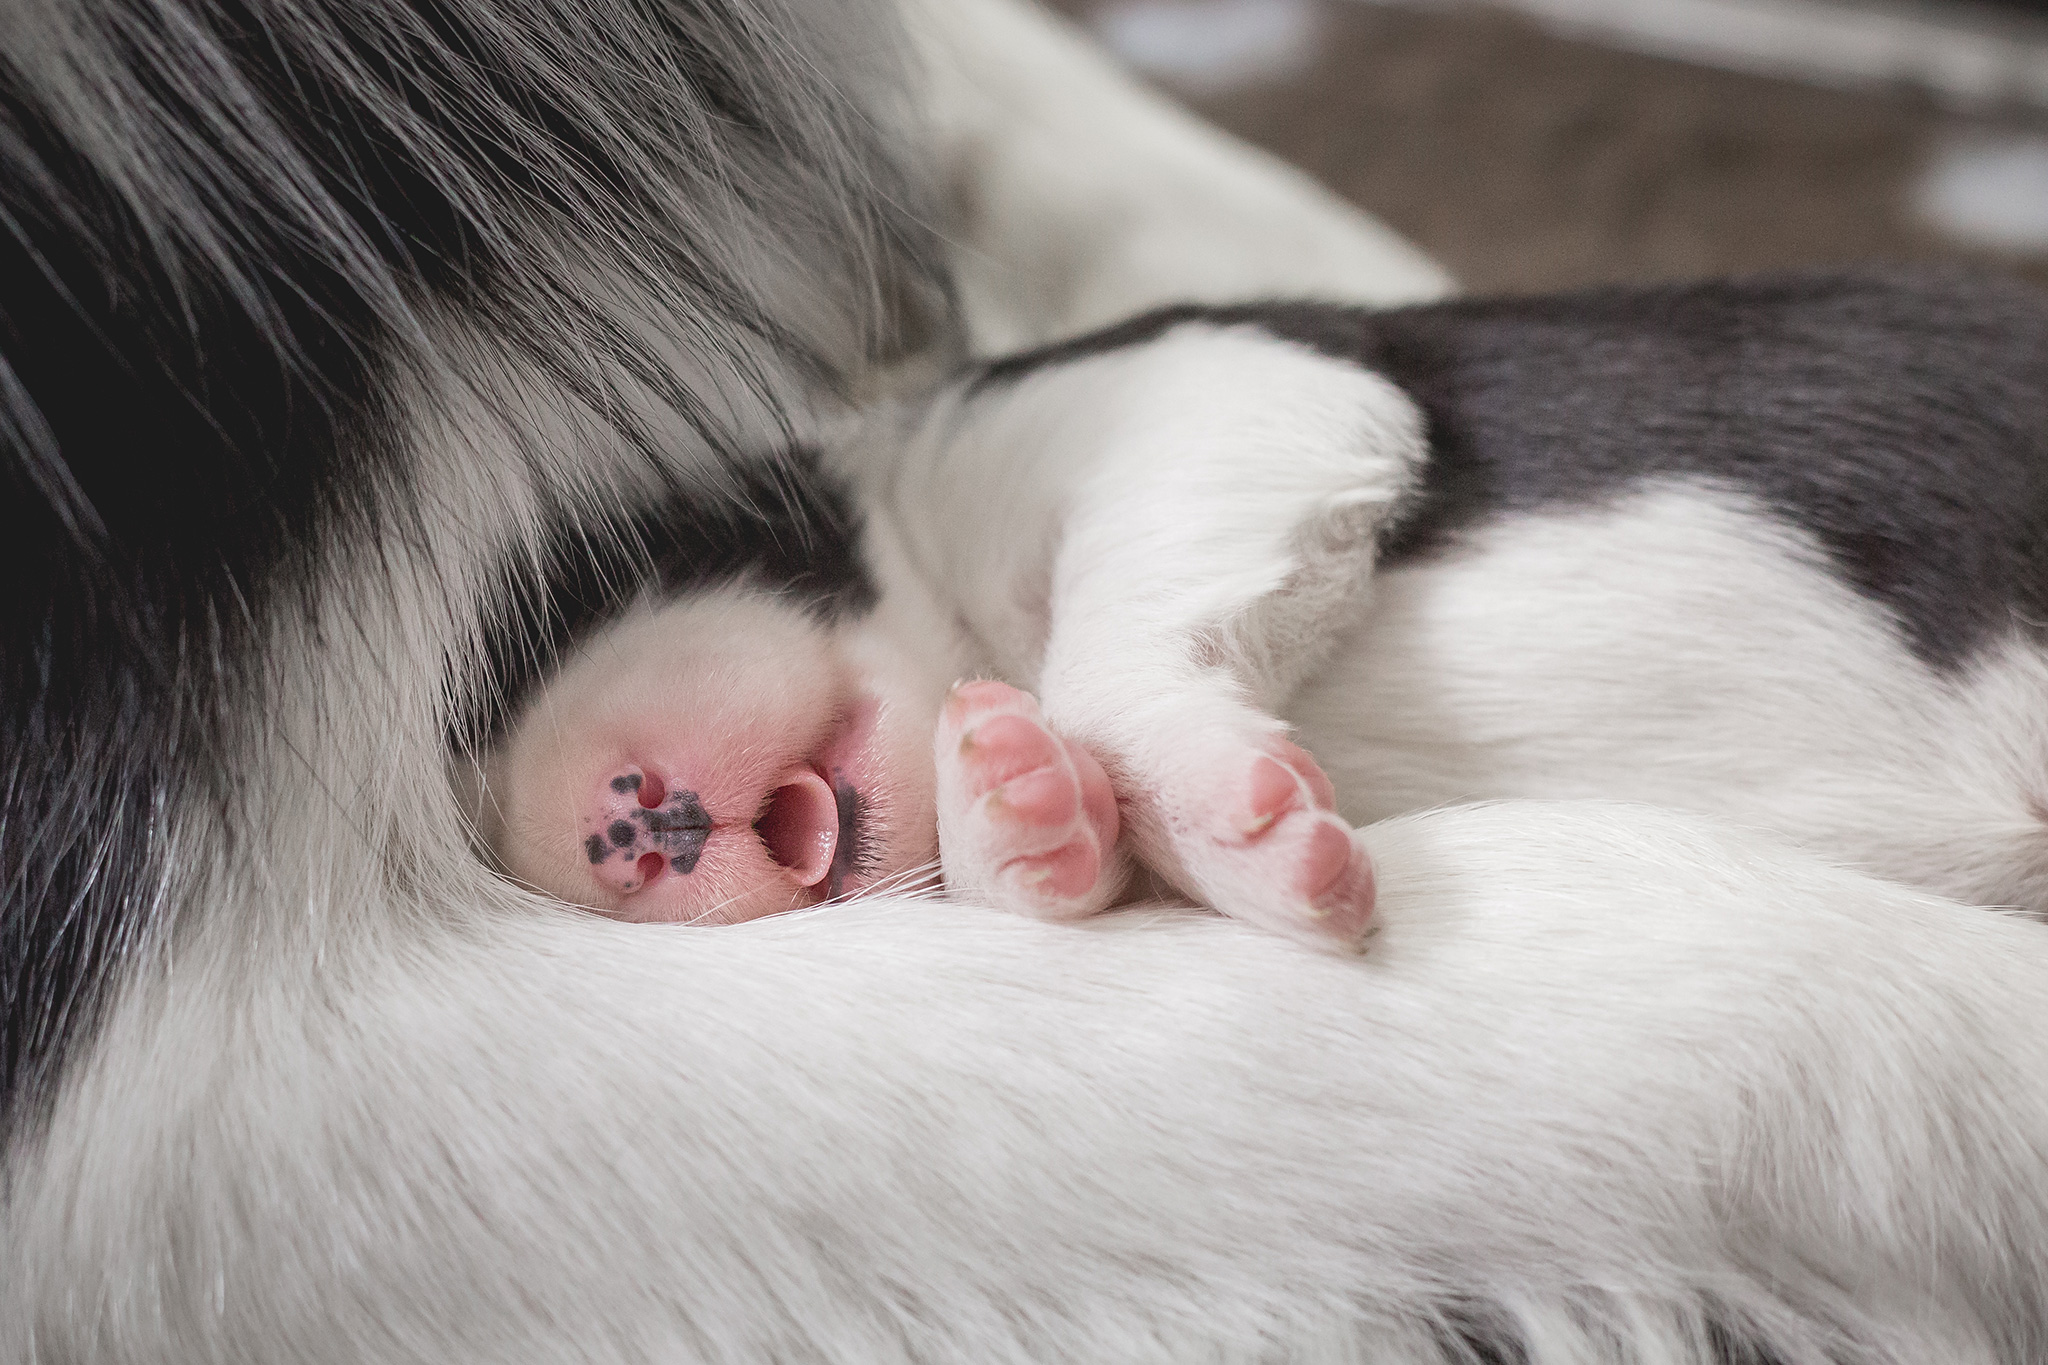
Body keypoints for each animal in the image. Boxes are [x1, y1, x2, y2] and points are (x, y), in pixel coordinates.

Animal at [491, 270, 2048, 949]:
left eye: (567, 592)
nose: (612, 830)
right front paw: (1019, 805)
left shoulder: (1233, 394)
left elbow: (1111, 652)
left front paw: (1243, 831)